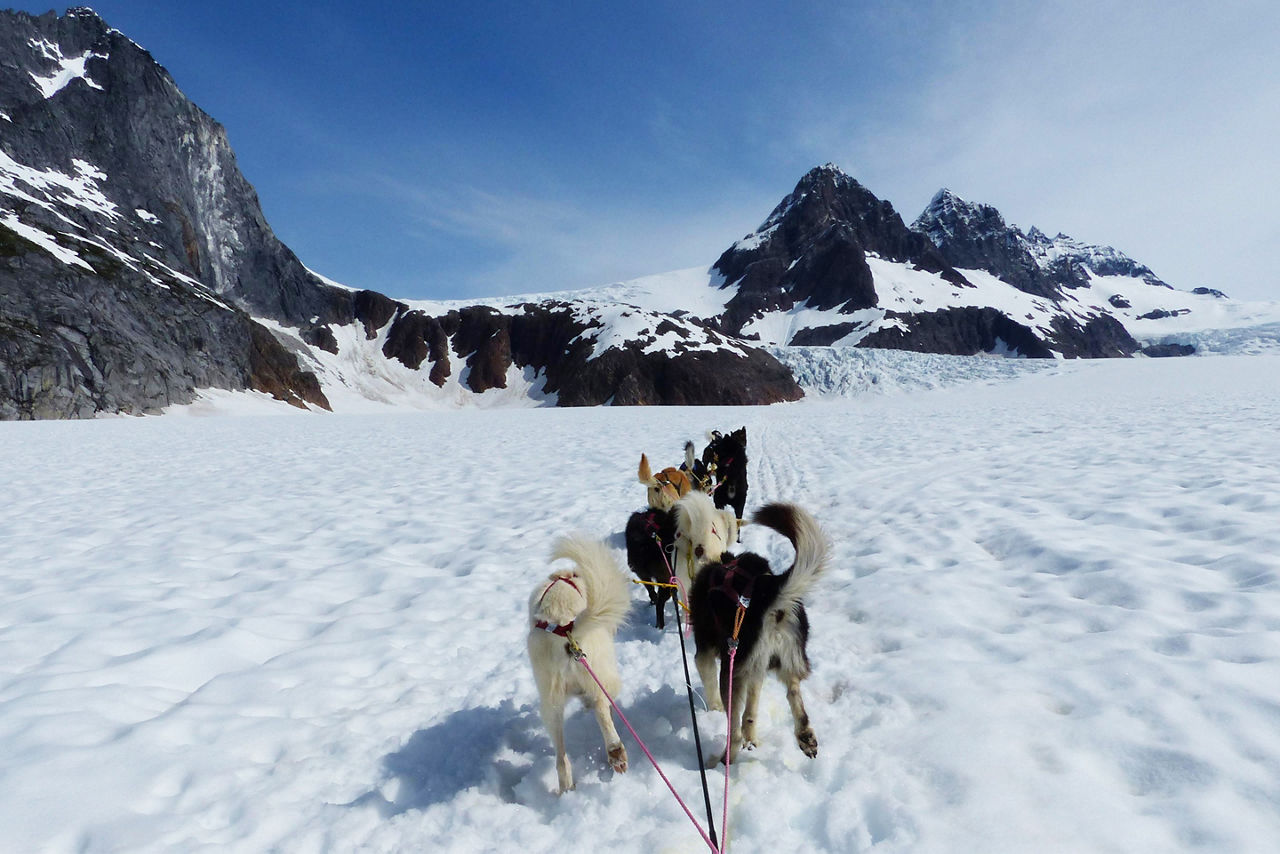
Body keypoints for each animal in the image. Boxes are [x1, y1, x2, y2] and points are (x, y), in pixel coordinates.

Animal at [527, 535, 632, 793]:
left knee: (561, 758)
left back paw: (567, 789)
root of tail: (565, 629)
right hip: (605, 677)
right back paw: (616, 751)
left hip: (551, 705)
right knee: (602, 708)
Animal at [622, 504, 675, 632]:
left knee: (654, 594)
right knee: (660, 604)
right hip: (666, 580)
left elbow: (650, 589)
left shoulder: (642, 574)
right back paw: (660, 627)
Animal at [691, 504, 829, 763]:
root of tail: (769, 593)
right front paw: (752, 738)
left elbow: (711, 690)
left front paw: (714, 710)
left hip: (731, 668)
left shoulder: (704, 655)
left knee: (734, 732)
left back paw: (722, 760)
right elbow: (751, 711)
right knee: (793, 693)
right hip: (786, 659)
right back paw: (805, 736)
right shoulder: (756, 669)